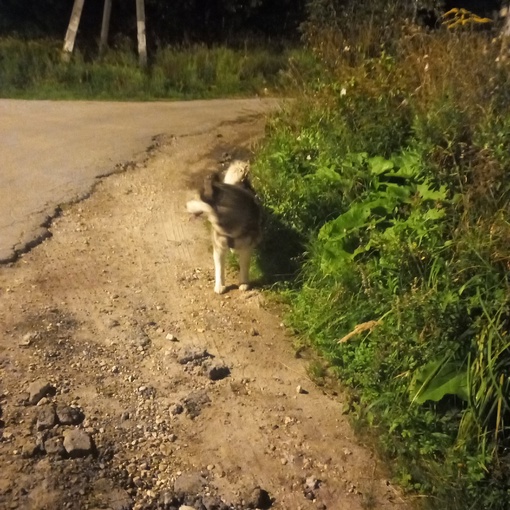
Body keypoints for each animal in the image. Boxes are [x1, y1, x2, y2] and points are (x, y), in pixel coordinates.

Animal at [185, 159, 260, 294]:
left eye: (195, 198)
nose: (185, 205)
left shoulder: (246, 248)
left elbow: (244, 266)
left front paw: (244, 282)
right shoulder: (218, 247)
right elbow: (219, 268)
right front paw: (220, 285)